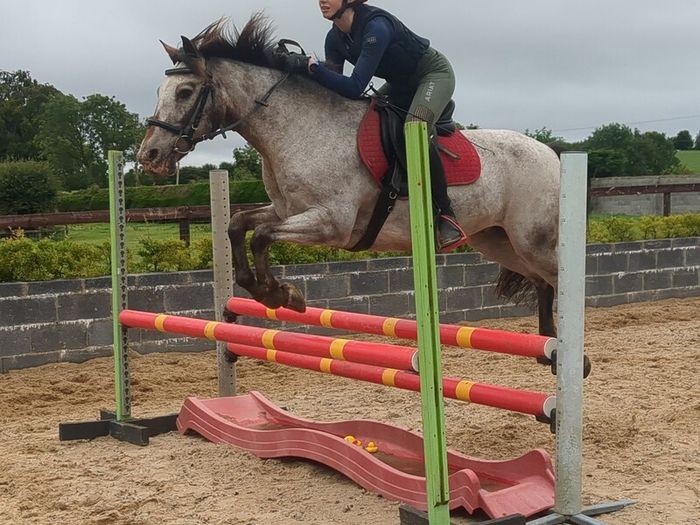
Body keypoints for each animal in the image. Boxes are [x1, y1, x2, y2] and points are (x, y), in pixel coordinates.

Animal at [138, 15, 565, 346]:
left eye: (185, 91)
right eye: (159, 90)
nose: (149, 156)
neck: (299, 128)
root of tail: (552, 155)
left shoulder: (332, 223)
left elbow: (261, 236)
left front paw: (281, 294)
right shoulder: (287, 210)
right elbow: (237, 224)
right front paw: (268, 291)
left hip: (533, 240)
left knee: (562, 278)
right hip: (497, 240)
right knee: (543, 282)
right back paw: (551, 346)